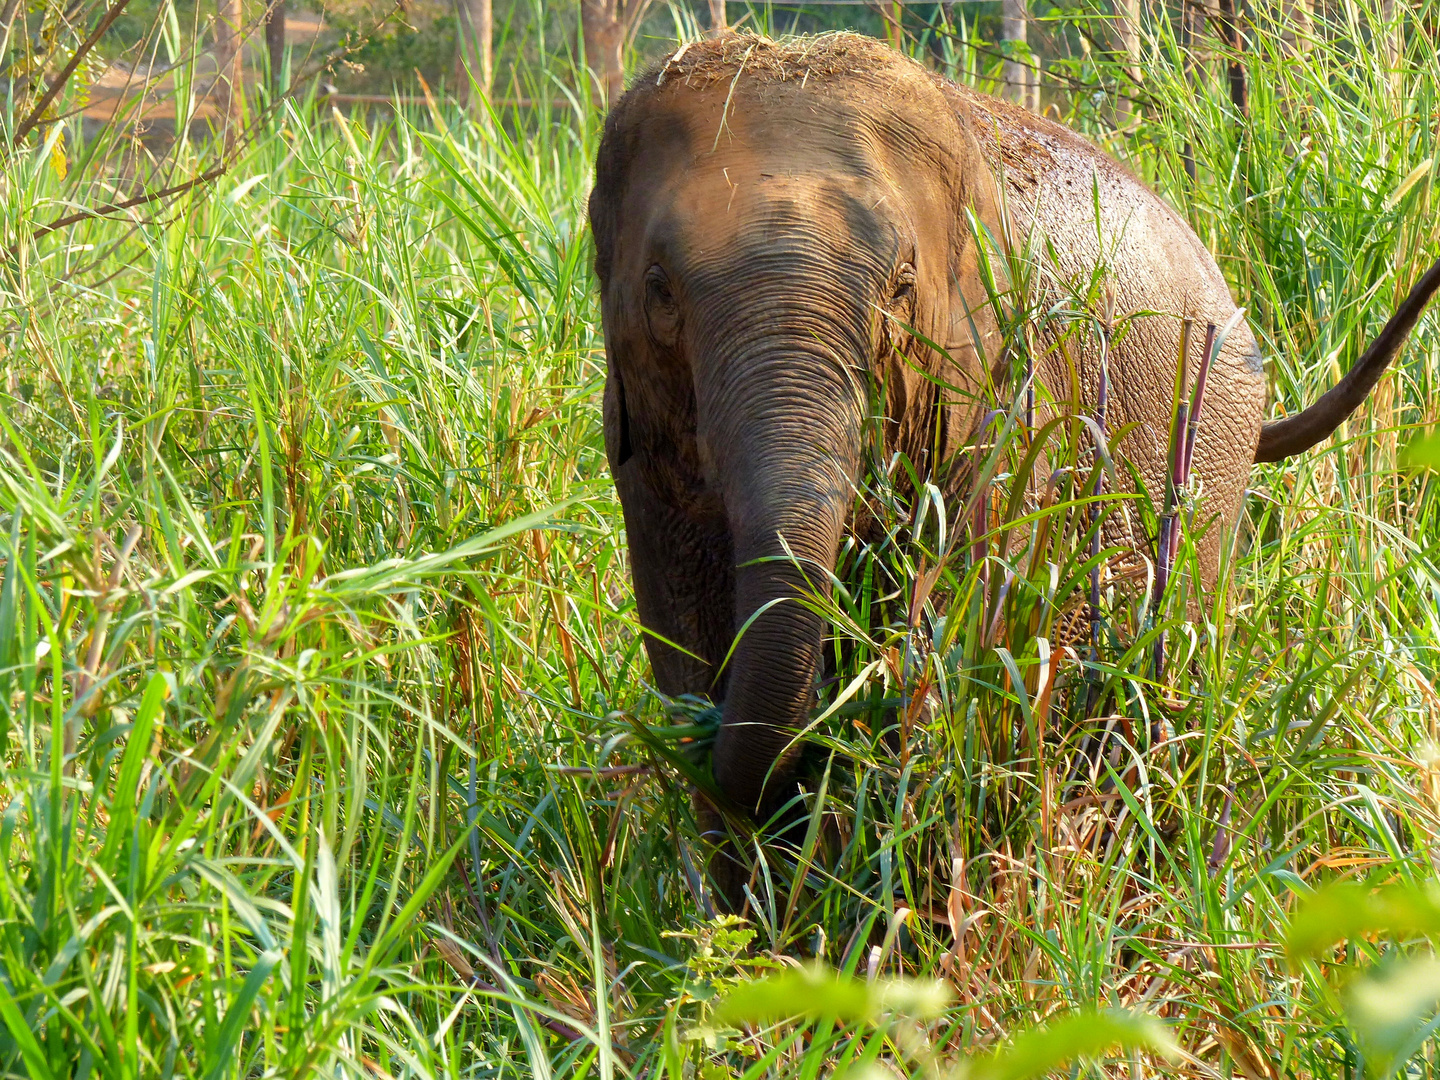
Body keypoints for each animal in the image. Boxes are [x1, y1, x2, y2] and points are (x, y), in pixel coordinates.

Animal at [584, 29, 1440, 823]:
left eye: (901, 287)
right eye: (660, 291)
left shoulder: (1005, 403)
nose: (685, 742)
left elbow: (961, 625)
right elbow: (684, 631)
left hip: (1210, 453)